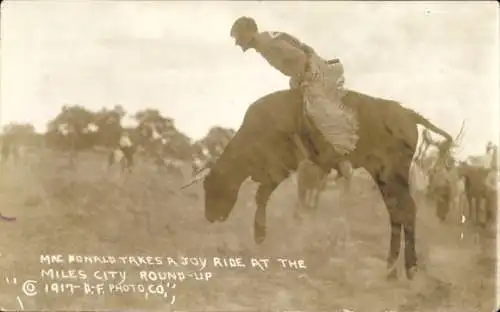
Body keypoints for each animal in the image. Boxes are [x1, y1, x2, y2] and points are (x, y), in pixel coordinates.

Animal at [182, 88, 456, 280]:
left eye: (211, 186)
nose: (210, 216)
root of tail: (407, 113)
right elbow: (266, 195)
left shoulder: (281, 165)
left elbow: (263, 195)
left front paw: (260, 234)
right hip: (383, 177)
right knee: (398, 213)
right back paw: (391, 268)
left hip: (393, 174)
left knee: (406, 211)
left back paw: (408, 269)